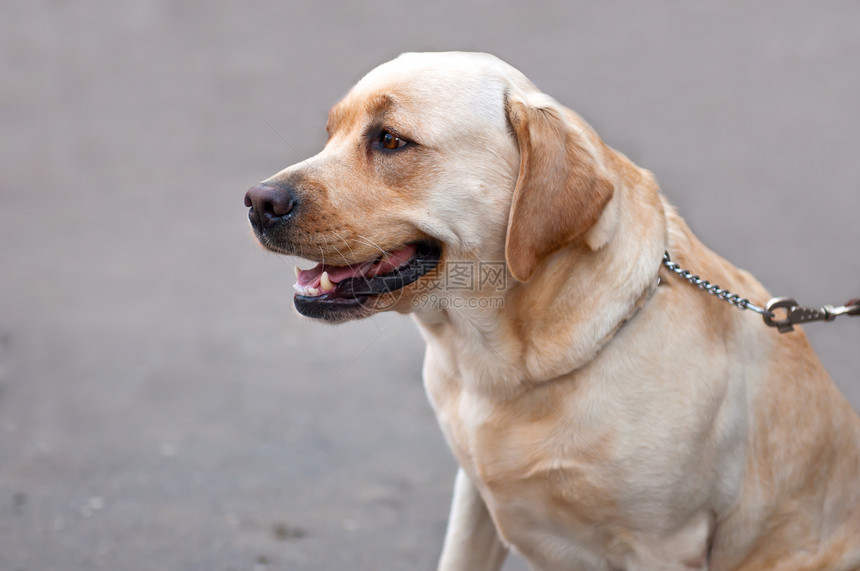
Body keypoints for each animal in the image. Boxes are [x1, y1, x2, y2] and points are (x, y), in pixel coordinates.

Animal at [244, 51, 860, 568]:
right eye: (331, 134)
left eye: (391, 140)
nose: (257, 201)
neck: (503, 369)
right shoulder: (473, 498)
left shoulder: (663, 542)